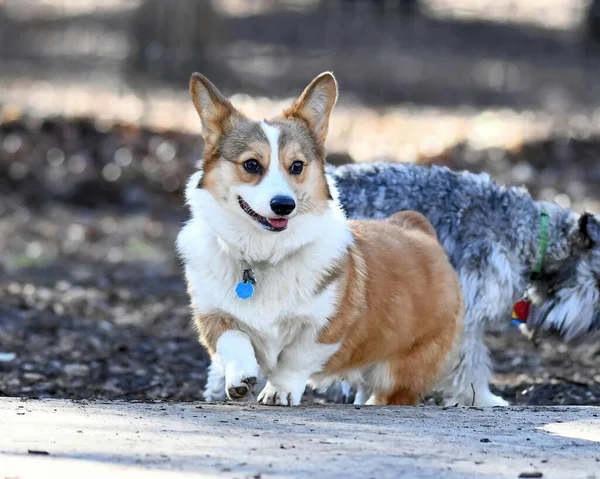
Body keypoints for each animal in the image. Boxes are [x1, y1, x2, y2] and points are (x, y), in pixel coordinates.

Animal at [176, 72, 462, 404]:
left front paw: (278, 390)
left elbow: (295, 359)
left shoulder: (325, 327)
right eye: (251, 164)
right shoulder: (212, 316)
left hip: (399, 373)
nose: (283, 205)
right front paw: (241, 377)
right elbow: (233, 339)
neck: (263, 256)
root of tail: (417, 228)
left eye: (297, 166)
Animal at [203, 163, 600, 406]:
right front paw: (482, 399)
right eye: (597, 281)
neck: (529, 234)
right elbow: (471, 363)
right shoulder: (467, 314)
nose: (594, 329)